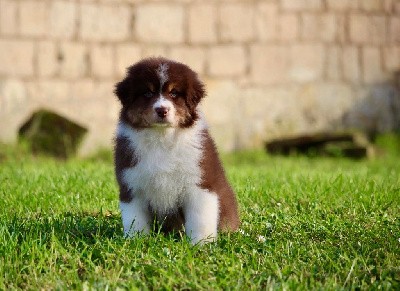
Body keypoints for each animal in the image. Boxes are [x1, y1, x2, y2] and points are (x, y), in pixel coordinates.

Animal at [112, 57, 239, 244]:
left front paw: (201, 244)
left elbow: (200, 218)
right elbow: (135, 220)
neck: (162, 138)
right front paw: (137, 241)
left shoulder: (200, 183)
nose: (162, 110)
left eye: (174, 93)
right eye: (147, 93)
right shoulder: (132, 184)